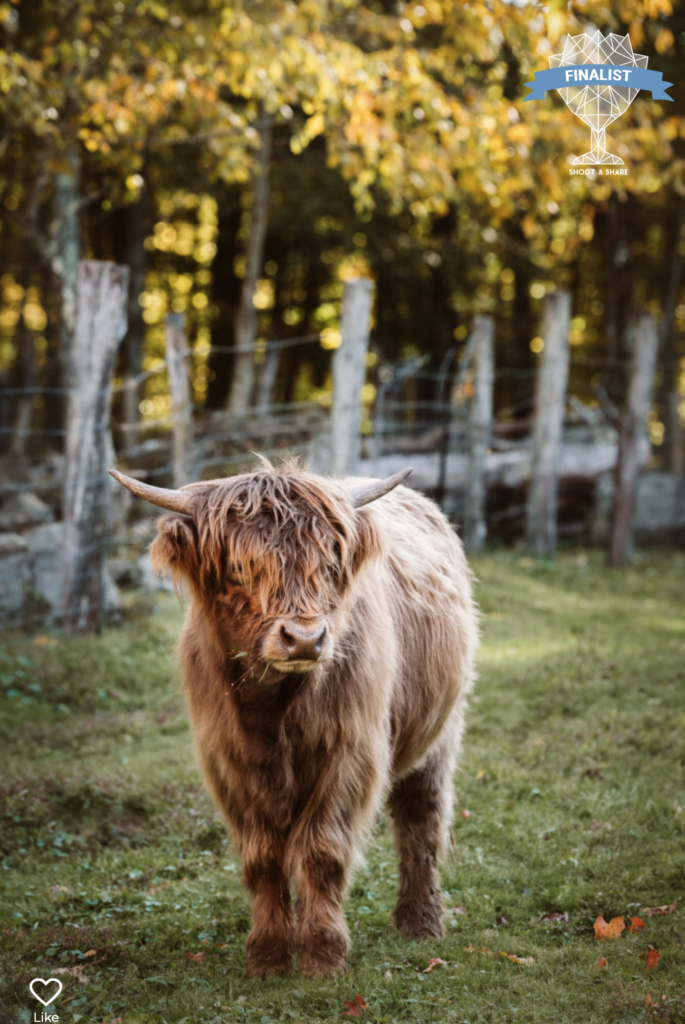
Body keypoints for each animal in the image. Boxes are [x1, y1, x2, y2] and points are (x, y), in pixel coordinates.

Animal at [111, 462, 475, 974]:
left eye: (328, 566)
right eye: (240, 567)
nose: (304, 639)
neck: (272, 709)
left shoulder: (349, 753)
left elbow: (322, 851)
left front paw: (322, 956)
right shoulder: (229, 762)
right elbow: (263, 857)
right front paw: (267, 957)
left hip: (440, 735)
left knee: (421, 822)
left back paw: (420, 923)